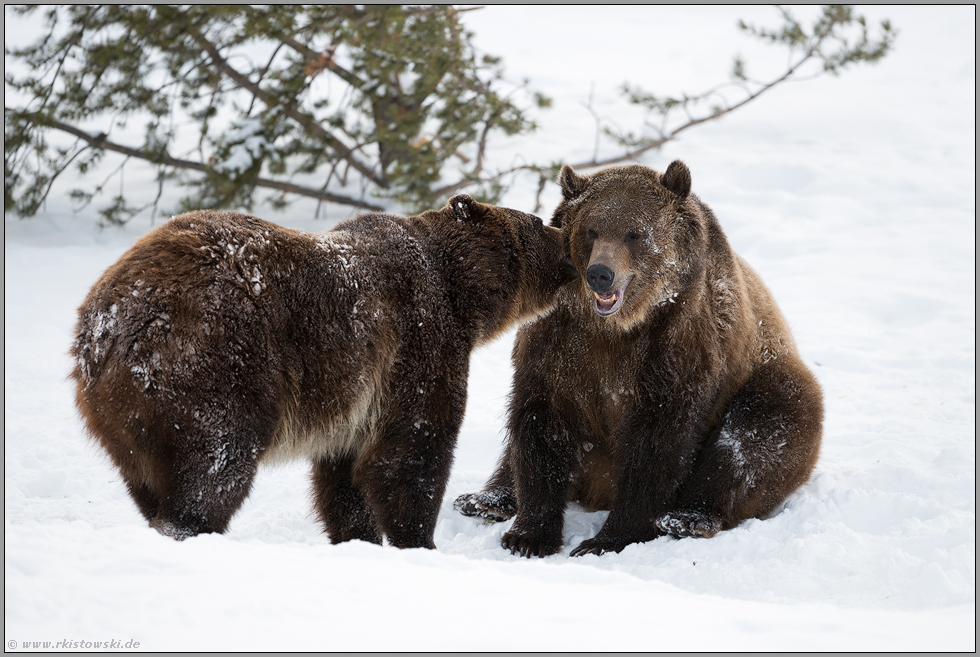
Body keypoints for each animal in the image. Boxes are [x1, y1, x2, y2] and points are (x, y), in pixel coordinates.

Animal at [70, 195, 574, 547]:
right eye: (537, 221)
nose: (568, 244)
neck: (462, 296)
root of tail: (107, 324)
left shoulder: (355, 400)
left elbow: (344, 477)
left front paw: (359, 538)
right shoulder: (419, 341)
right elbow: (411, 451)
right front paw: (418, 540)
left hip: (123, 419)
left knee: (150, 479)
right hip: (215, 362)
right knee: (215, 462)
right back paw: (190, 527)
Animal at [455, 161, 824, 557]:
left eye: (634, 233)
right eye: (591, 230)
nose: (600, 274)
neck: (616, 328)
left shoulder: (676, 346)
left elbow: (656, 443)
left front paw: (607, 538)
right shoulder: (558, 343)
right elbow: (541, 424)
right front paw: (528, 535)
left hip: (767, 379)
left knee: (754, 437)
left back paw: (689, 517)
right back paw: (484, 499)